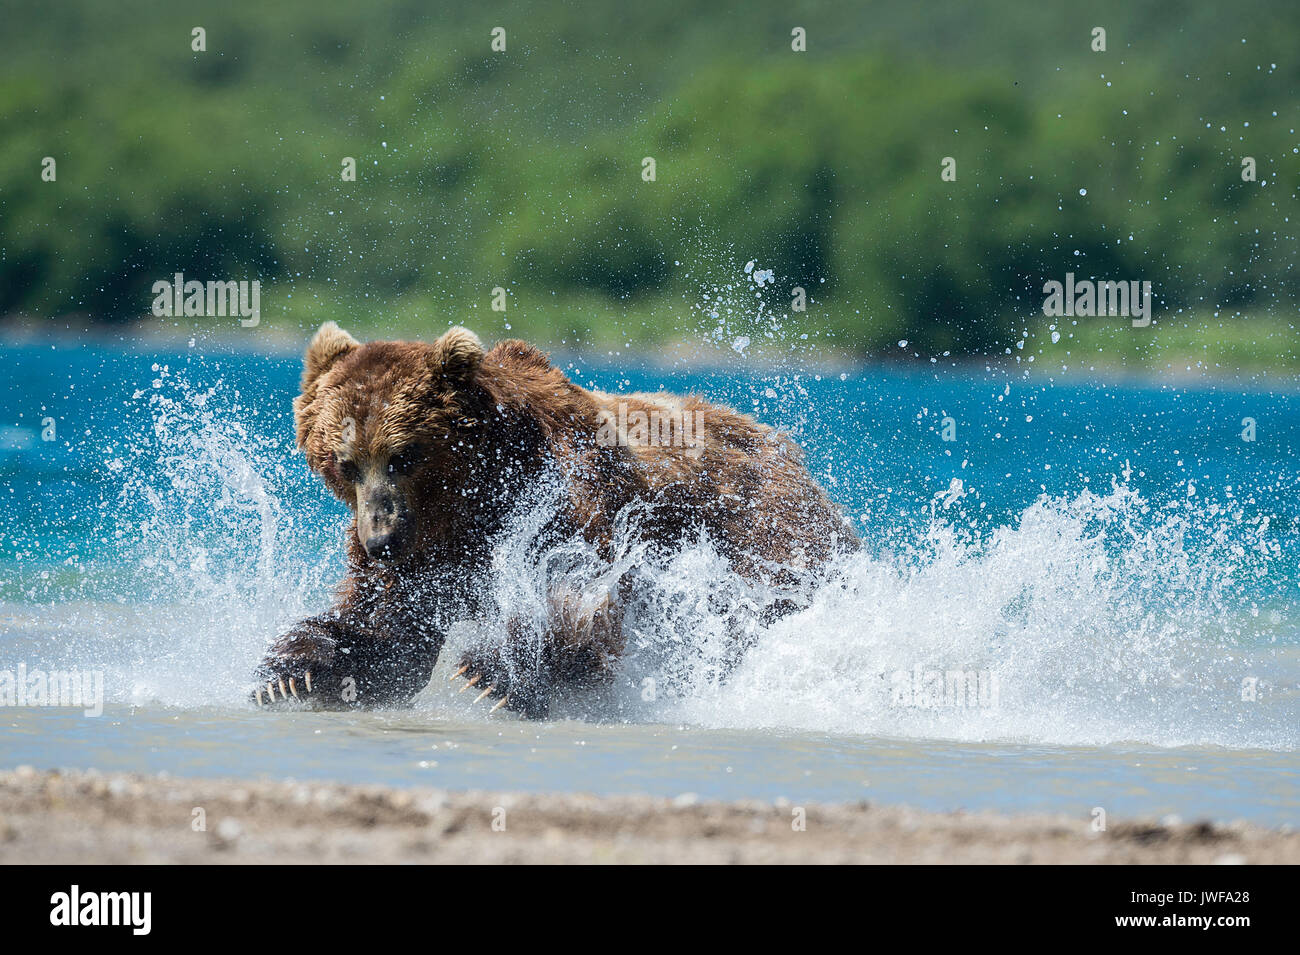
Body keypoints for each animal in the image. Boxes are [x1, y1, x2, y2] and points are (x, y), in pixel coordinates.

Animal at [257, 323, 857, 717]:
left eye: (403, 456)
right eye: (345, 462)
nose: (380, 538)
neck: (468, 499)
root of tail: (792, 457)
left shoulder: (564, 499)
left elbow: (580, 592)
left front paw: (494, 672)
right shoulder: (426, 554)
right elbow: (388, 625)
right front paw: (296, 670)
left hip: (762, 535)